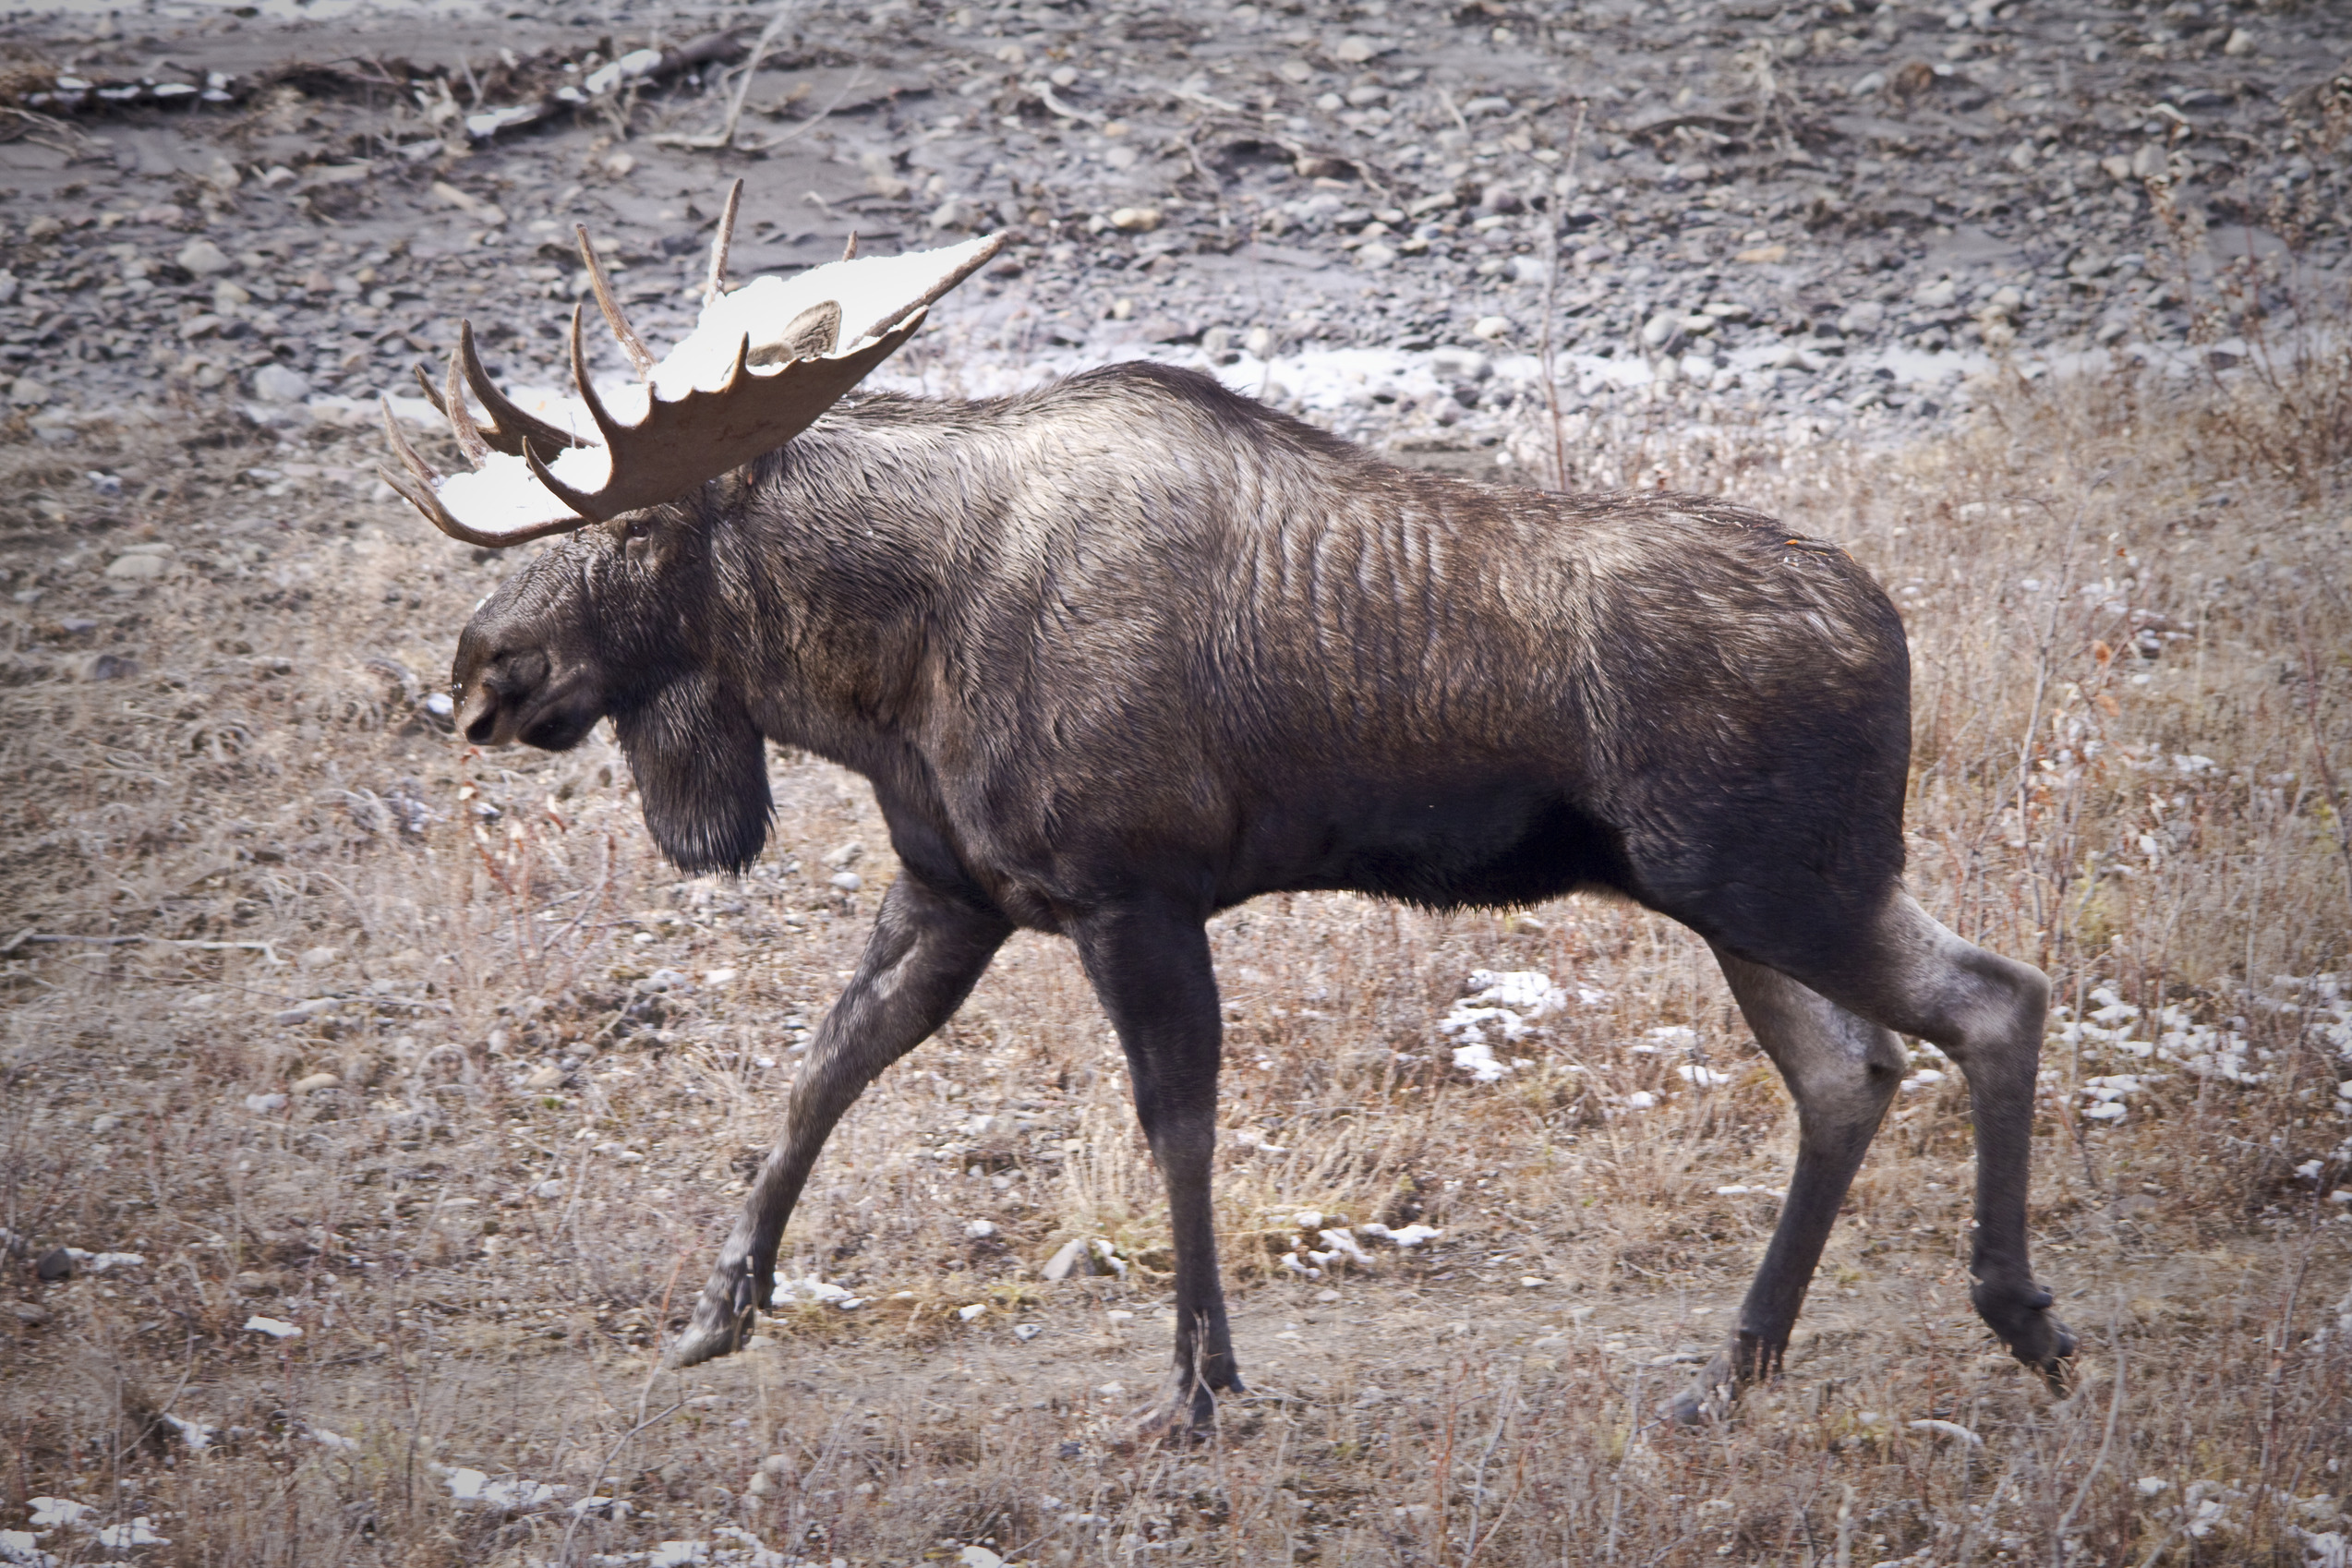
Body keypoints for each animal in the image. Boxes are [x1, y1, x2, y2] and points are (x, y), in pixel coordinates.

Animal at [380, 181, 2075, 1432]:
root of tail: (1892, 630)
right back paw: (1734, 1368)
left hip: (1783, 877)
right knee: (1849, 1072)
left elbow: (1174, 1122)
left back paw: (2015, 1314)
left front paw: (1197, 1386)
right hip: (1728, 897)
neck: (877, 666)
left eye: (629, 529)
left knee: (1992, 997)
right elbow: (821, 1068)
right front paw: (711, 1311)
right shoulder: (954, 888)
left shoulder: (1129, 885)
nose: (479, 674)